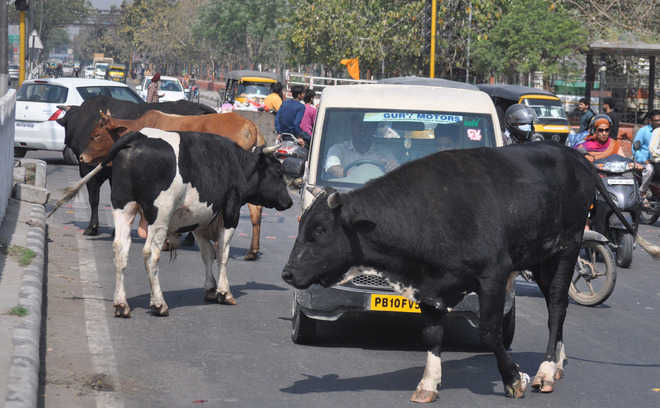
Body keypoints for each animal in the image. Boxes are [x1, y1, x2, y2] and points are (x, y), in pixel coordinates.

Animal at [65, 127, 292, 316]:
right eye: (278, 172)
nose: (289, 201)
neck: (236, 163)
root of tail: (138, 136)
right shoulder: (230, 212)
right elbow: (222, 254)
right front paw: (223, 292)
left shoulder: (201, 219)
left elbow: (207, 254)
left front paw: (210, 288)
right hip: (160, 215)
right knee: (151, 254)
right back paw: (158, 303)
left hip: (123, 206)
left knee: (120, 249)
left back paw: (121, 304)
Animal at [83, 109, 268, 262]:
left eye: (96, 135)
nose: (82, 157)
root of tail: (251, 126)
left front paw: (165, 242)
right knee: (256, 211)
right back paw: (252, 252)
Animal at [280, 142, 660, 404]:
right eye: (302, 227)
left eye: (319, 231)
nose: (287, 273)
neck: (431, 213)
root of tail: (569, 153)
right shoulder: (429, 286)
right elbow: (431, 334)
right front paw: (428, 383)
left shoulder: (493, 276)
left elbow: (490, 333)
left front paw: (514, 379)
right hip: (540, 259)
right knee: (559, 312)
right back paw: (558, 361)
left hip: (567, 248)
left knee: (556, 307)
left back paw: (546, 371)